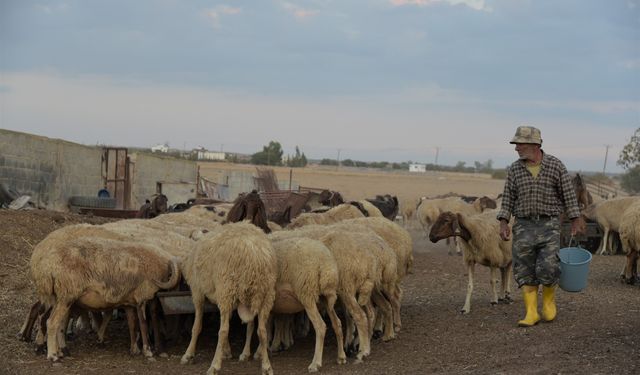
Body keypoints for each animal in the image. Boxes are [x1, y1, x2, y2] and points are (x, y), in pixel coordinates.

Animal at [29, 225, 180, 362]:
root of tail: (47, 267)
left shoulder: (129, 303)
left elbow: (133, 325)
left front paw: (134, 349)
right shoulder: (141, 297)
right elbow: (142, 325)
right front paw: (148, 352)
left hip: (57, 297)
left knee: (53, 321)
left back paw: (59, 351)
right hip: (66, 295)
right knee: (51, 322)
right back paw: (53, 355)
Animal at [179, 223, 276, 375]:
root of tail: (254, 257)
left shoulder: (197, 291)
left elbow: (197, 326)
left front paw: (188, 354)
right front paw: (227, 351)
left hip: (226, 288)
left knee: (223, 330)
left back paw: (214, 365)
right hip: (266, 295)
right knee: (262, 331)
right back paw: (266, 366)